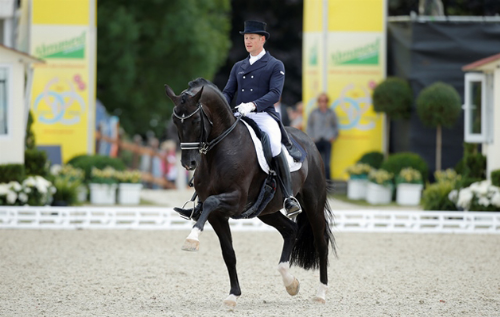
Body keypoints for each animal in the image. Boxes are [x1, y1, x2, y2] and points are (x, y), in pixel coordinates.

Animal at [165, 78, 336, 308]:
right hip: (266, 210)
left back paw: (321, 293)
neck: (220, 150)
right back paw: (290, 282)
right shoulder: (218, 216)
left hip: (312, 203)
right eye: (175, 121)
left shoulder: (236, 200)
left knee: (321, 242)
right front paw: (233, 294)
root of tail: (308, 142)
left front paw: (191, 239)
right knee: (290, 230)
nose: (188, 163)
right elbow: (228, 253)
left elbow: (210, 202)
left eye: (195, 120)